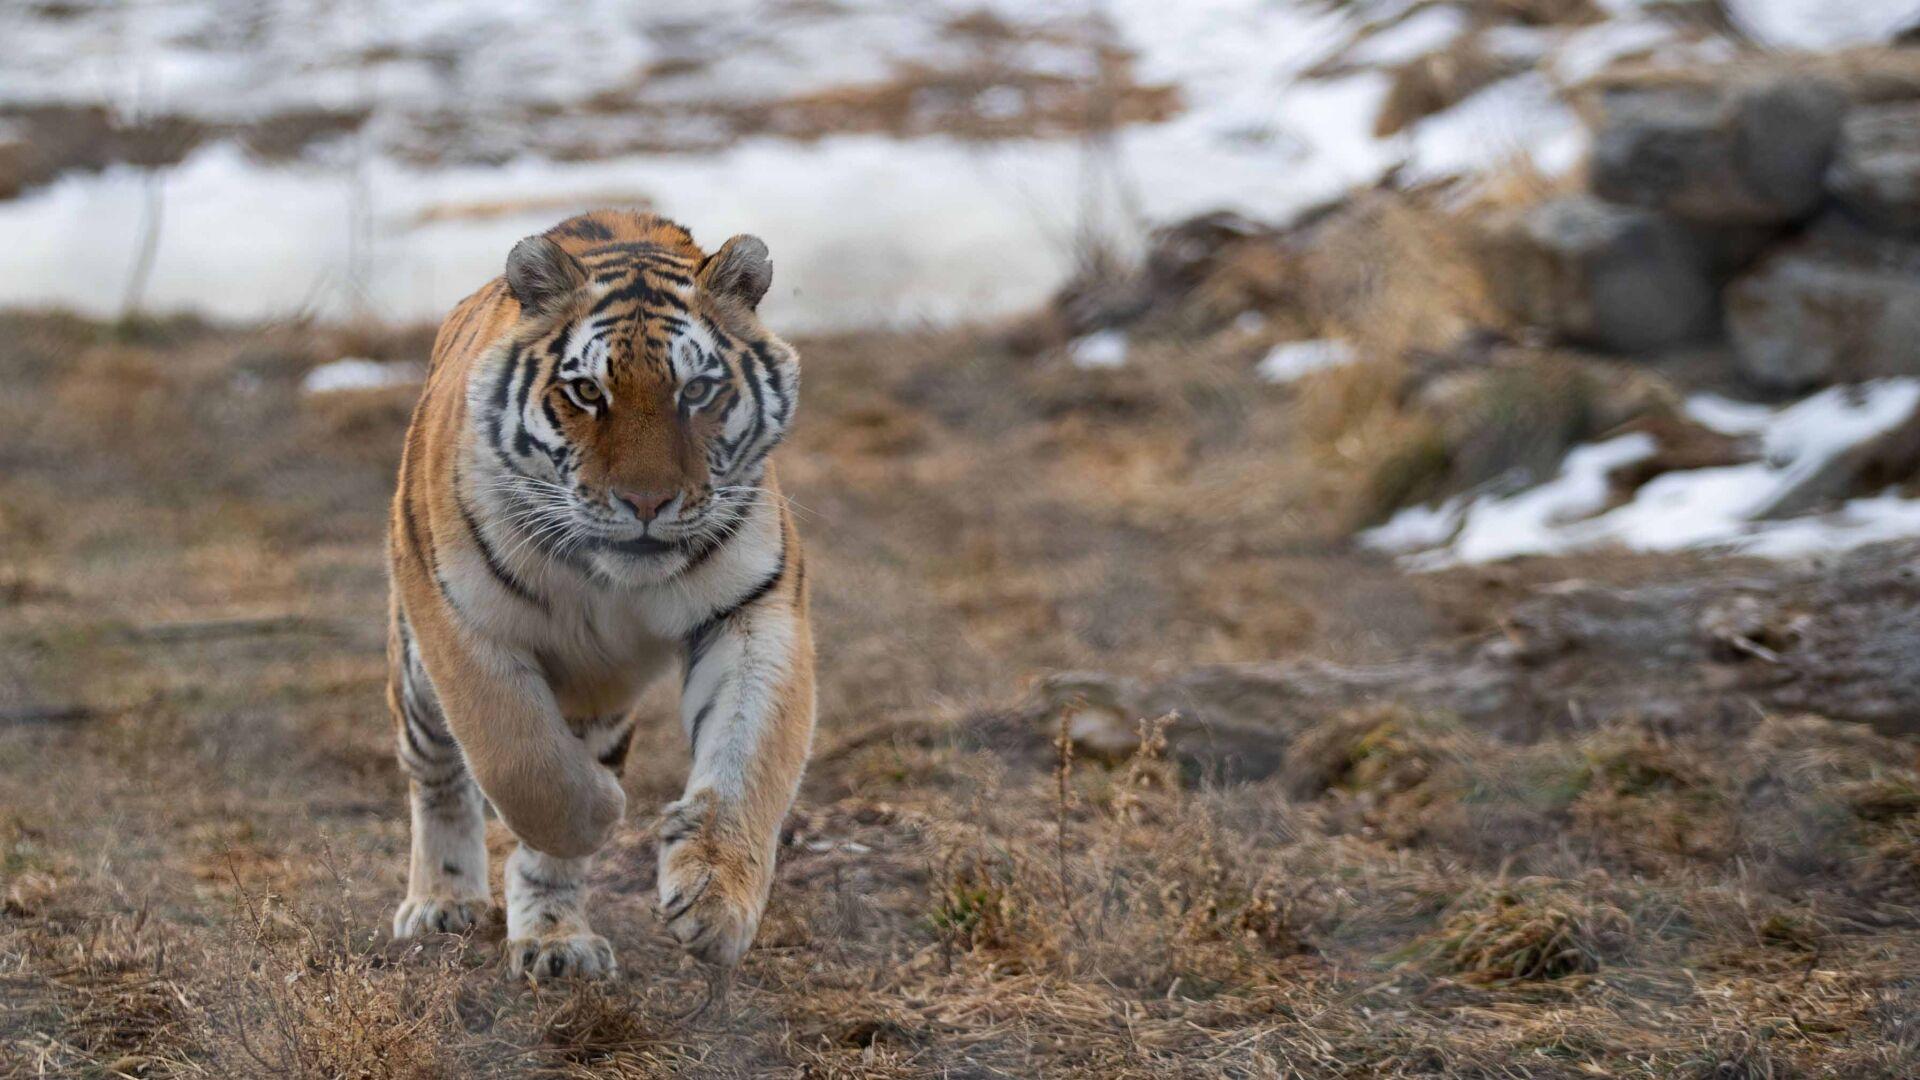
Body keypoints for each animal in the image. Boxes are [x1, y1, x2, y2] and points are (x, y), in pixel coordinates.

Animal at [385, 205, 814, 972]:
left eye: (696, 391)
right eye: (588, 392)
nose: (646, 503)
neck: (605, 579)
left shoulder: (754, 606)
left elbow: (751, 753)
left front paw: (715, 896)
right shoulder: (455, 616)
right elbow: (517, 755)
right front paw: (599, 814)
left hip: (603, 697)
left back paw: (558, 940)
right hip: (417, 672)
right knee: (437, 770)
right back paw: (443, 900)